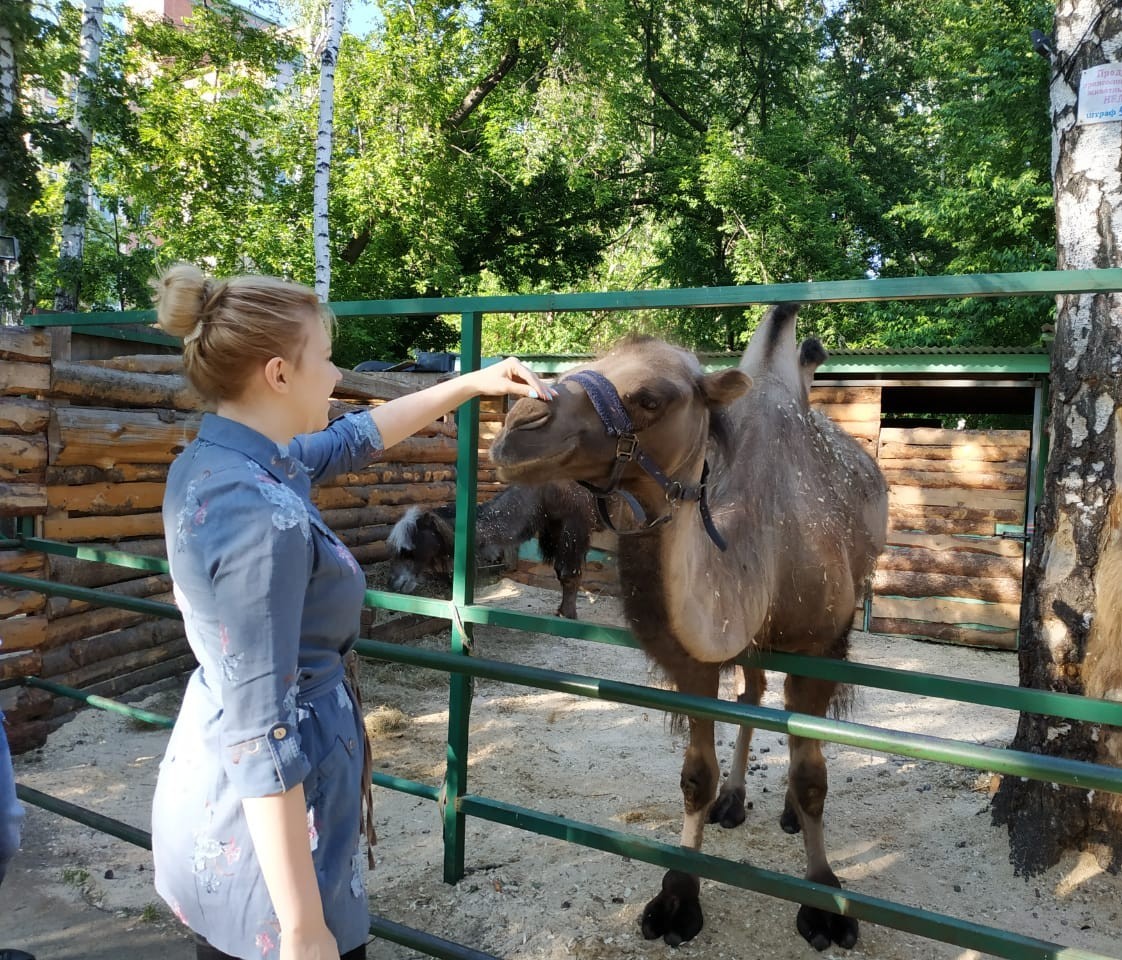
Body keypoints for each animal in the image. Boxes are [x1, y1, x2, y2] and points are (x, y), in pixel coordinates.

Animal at [489, 302, 884, 946]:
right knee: (752, 696)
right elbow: (696, 774)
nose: (517, 426)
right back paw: (736, 801)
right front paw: (678, 896)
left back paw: (786, 815)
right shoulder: (698, 661)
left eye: (652, 397)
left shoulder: (818, 645)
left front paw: (824, 900)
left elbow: (812, 778)